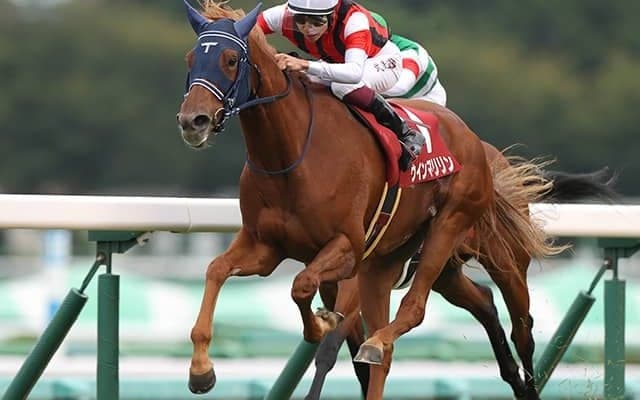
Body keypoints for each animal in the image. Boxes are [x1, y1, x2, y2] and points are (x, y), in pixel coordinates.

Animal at [176, 2, 588, 399]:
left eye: (232, 59)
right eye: (191, 58)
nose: (193, 121)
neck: (291, 157)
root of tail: (475, 141)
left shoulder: (347, 249)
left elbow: (304, 291)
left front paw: (319, 325)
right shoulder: (266, 247)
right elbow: (216, 270)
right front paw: (201, 370)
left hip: (471, 239)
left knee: (498, 323)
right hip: (412, 266)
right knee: (477, 304)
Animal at [304, 149, 617, 400]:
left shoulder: (358, 283)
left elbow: (332, 347)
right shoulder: (334, 289)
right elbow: (355, 357)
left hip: (505, 261)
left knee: (522, 329)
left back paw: (527, 388)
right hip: (446, 274)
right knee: (485, 301)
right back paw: (511, 373)